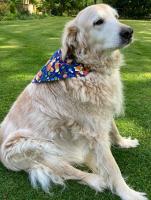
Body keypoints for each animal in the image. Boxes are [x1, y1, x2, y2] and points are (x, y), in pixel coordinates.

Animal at [0, 3, 147, 200]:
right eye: (98, 22)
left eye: (116, 17)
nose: (129, 32)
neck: (86, 67)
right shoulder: (96, 133)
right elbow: (113, 167)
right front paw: (128, 193)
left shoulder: (102, 111)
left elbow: (114, 129)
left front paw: (124, 143)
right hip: (34, 145)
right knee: (67, 170)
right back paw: (96, 179)